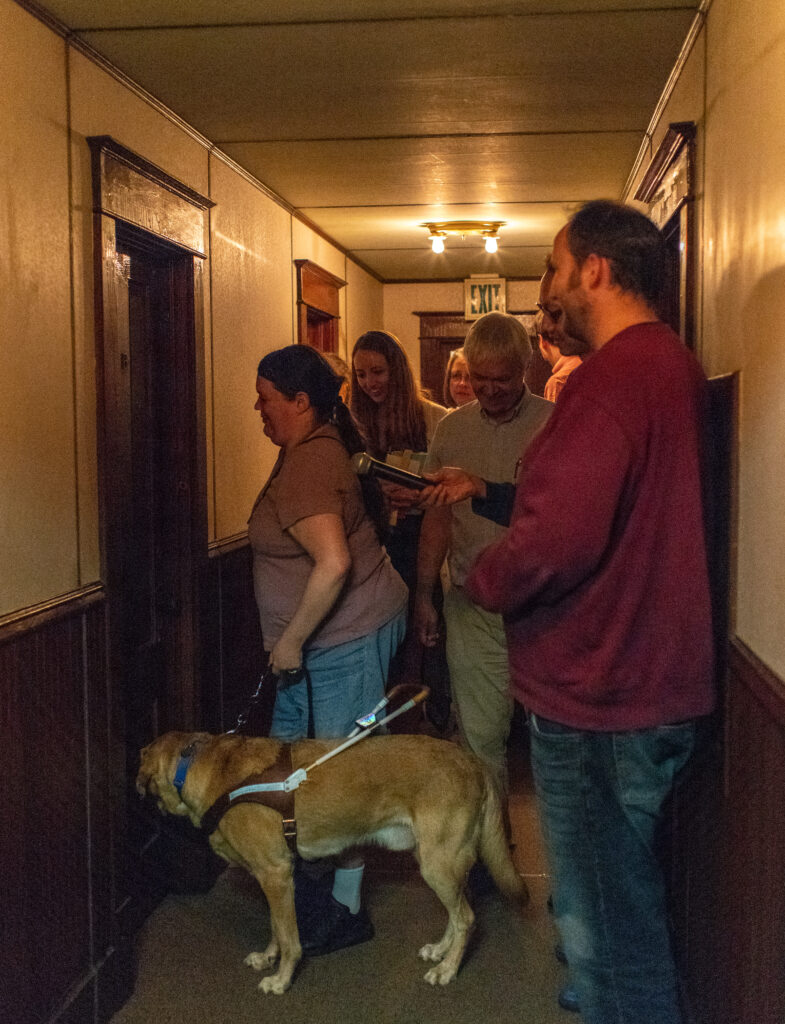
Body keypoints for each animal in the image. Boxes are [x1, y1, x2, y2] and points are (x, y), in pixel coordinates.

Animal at [137, 733, 528, 995]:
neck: (205, 767)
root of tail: (472, 760)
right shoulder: (273, 878)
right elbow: (276, 927)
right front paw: (267, 957)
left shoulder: (276, 874)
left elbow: (290, 938)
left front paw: (281, 979)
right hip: (434, 860)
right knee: (459, 912)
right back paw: (441, 951)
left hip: (438, 863)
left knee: (467, 918)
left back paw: (448, 969)